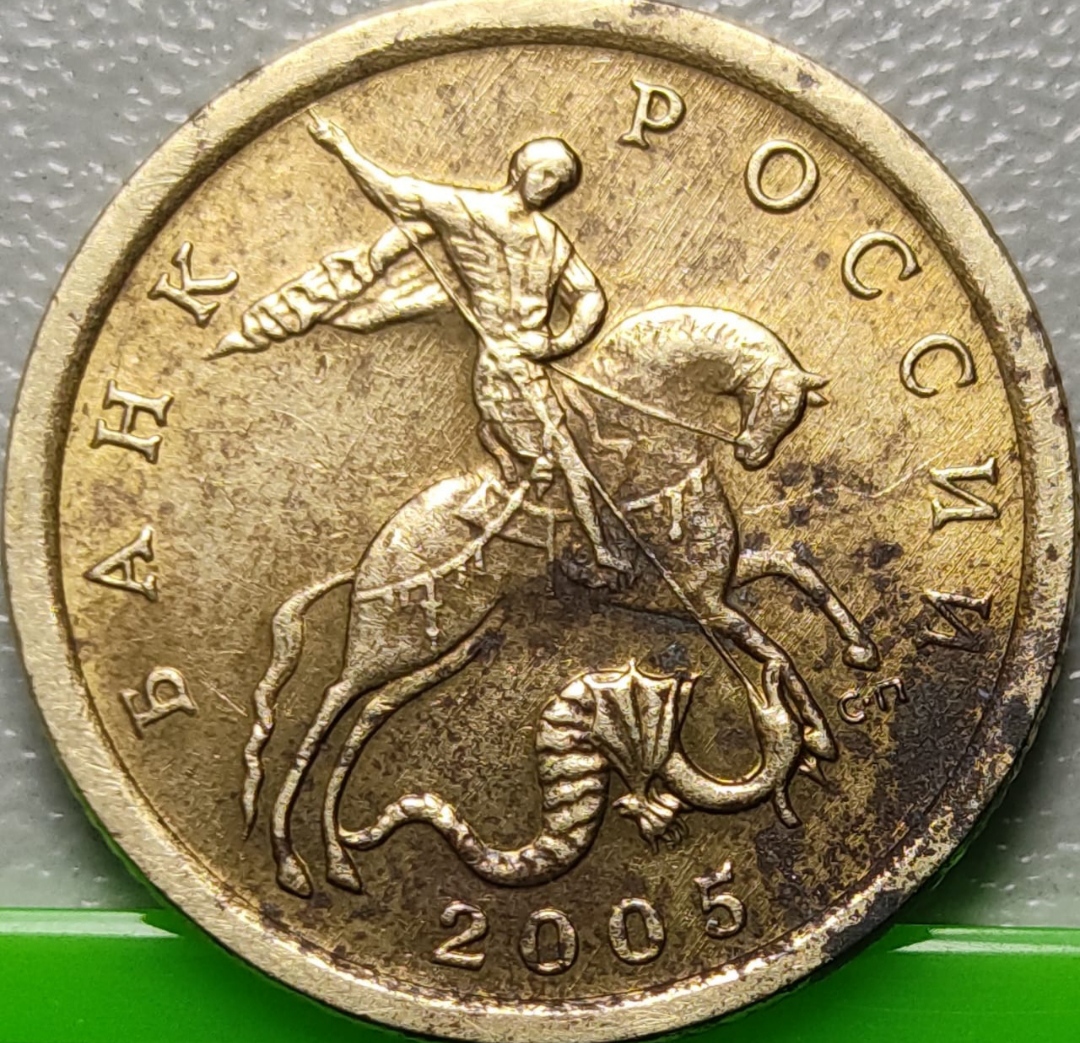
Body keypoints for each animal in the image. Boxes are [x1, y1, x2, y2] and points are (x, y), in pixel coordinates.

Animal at [239, 305, 879, 898]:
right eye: (781, 401)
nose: (752, 455)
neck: (648, 458)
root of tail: (367, 558)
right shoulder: (700, 604)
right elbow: (775, 650)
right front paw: (818, 734)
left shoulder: (710, 588)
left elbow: (797, 573)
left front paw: (858, 654)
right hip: (390, 643)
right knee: (326, 709)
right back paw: (291, 862)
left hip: (451, 644)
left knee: (367, 716)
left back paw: (339, 860)